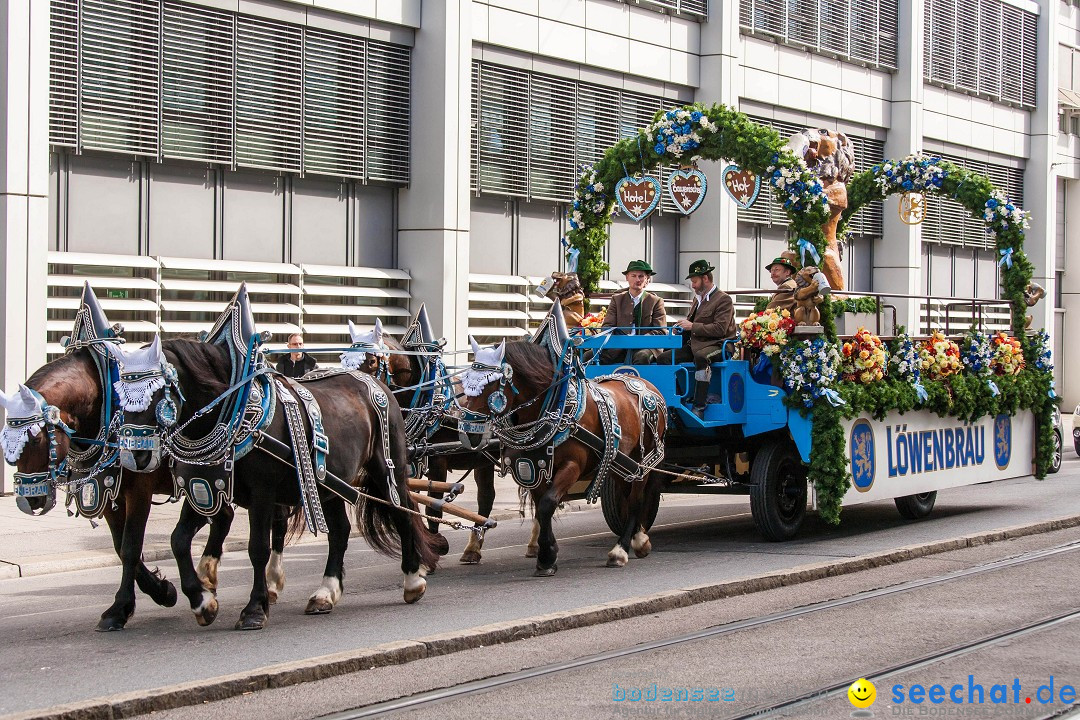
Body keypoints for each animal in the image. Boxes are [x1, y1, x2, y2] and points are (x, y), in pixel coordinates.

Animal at [457, 336, 660, 574]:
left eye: (489, 385)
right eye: (466, 383)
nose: (468, 434)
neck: (553, 408)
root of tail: (648, 385)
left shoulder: (572, 466)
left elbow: (547, 504)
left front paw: (546, 555)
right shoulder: (533, 468)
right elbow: (542, 507)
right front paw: (547, 555)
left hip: (641, 463)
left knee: (636, 500)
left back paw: (621, 550)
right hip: (619, 464)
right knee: (627, 498)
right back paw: (640, 538)